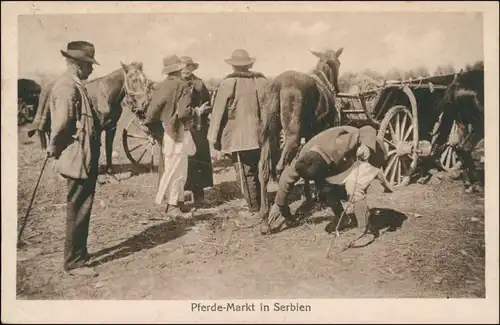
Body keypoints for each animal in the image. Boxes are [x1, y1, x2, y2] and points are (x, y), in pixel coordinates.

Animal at [258, 47, 344, 220]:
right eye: (338, 63)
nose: (337, 89)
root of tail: (277, 84)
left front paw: (308, 196)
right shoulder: (319, 131)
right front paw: (317, 195)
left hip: (268, 136)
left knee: (263, 168)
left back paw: (264, 212)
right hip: (292, 138)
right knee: (280, 168)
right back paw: (284, 212)